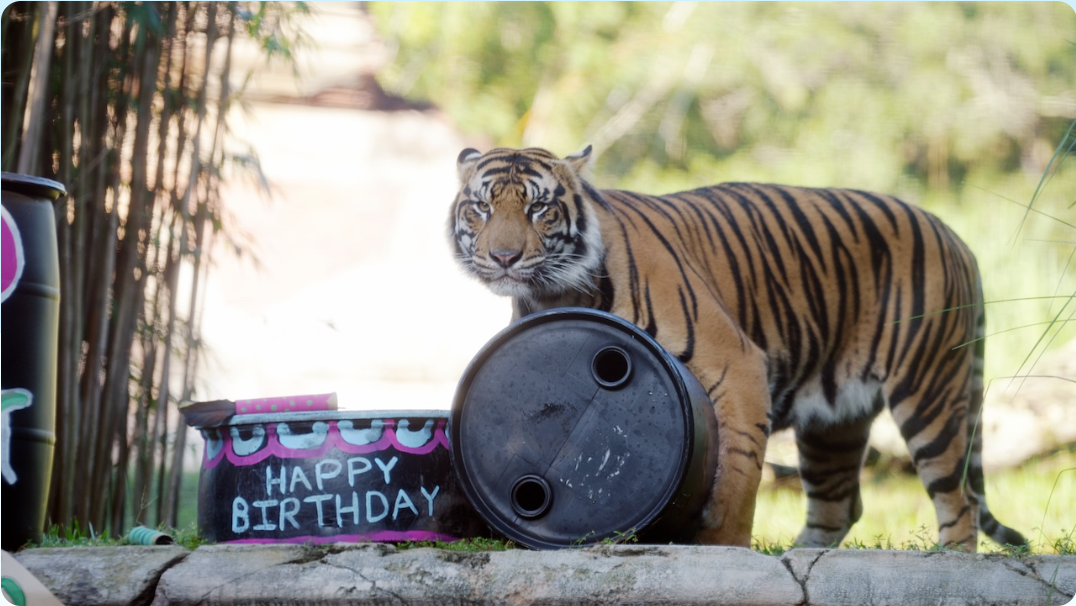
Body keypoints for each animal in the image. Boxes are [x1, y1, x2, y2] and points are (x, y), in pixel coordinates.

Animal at [448, 145, 1026, 552]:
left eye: (539, 208)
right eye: (481, 208)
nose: (503, 257)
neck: (558, 290)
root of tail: (954, 234)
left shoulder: (738, 365)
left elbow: (738, 472)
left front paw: (724, 545)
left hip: (929, 392)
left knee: (959, 499)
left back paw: (949, 558)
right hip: (834, 422)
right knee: (839, 505)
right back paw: (798, 556)